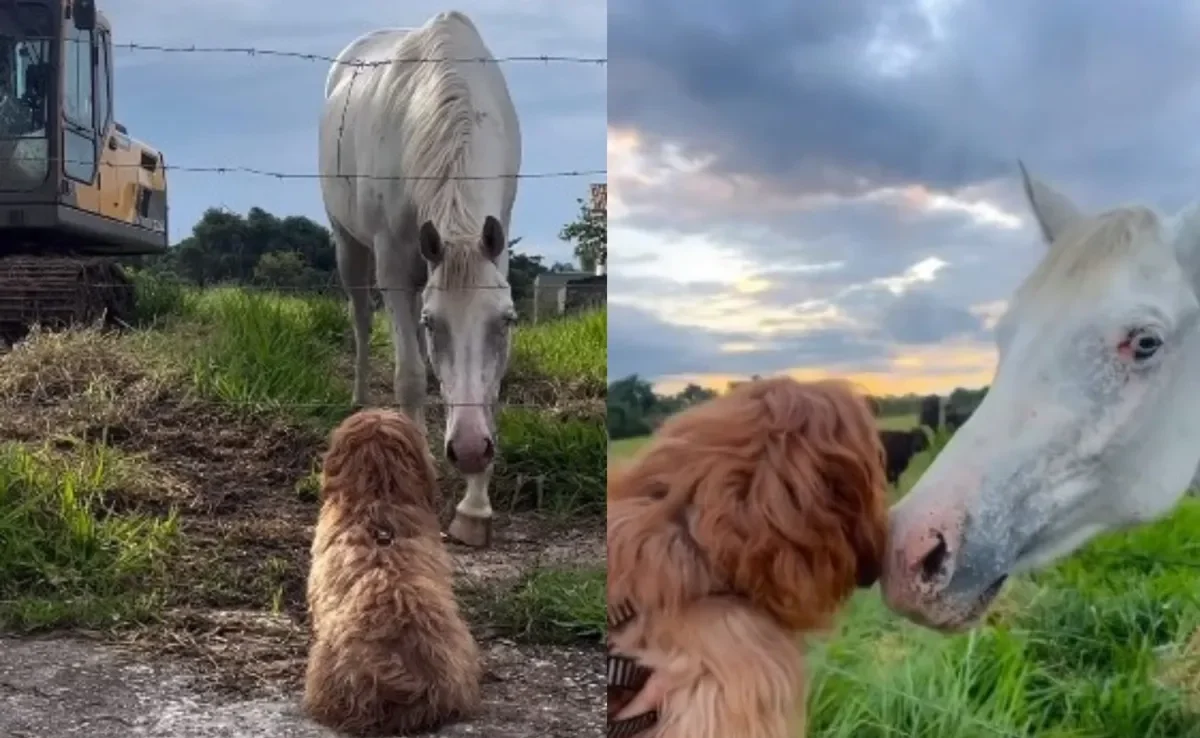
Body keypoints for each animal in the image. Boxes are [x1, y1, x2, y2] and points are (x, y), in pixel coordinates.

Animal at [319, 8, 520, 544]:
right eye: (434, 324)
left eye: (507, 321)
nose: (469, 450)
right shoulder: (391, 264)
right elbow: (409, 375)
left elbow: (487, 388)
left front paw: (474, 507)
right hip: (349, 246)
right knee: (362, 319)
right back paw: (359, 398)